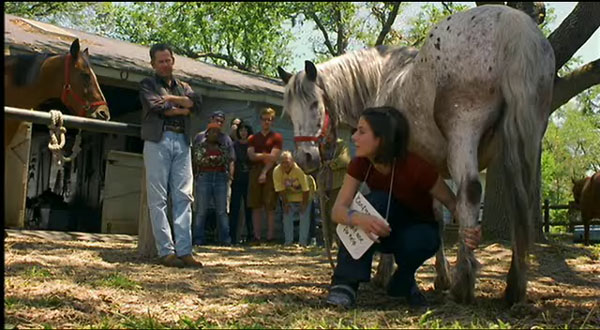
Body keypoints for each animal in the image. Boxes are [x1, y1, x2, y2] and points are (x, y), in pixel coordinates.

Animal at [278, 4, 556, 304]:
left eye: (315, 104)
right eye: (289, 112)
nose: (305, 158)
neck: (385, 78)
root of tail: (512, 24)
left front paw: (386, 272)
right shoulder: (432, 169)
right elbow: (436, 215)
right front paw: (440, 277)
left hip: (464, 131)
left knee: (470, 194)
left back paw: (463, 284)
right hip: (526, 143)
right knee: (523, 200)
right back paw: (514, 286)